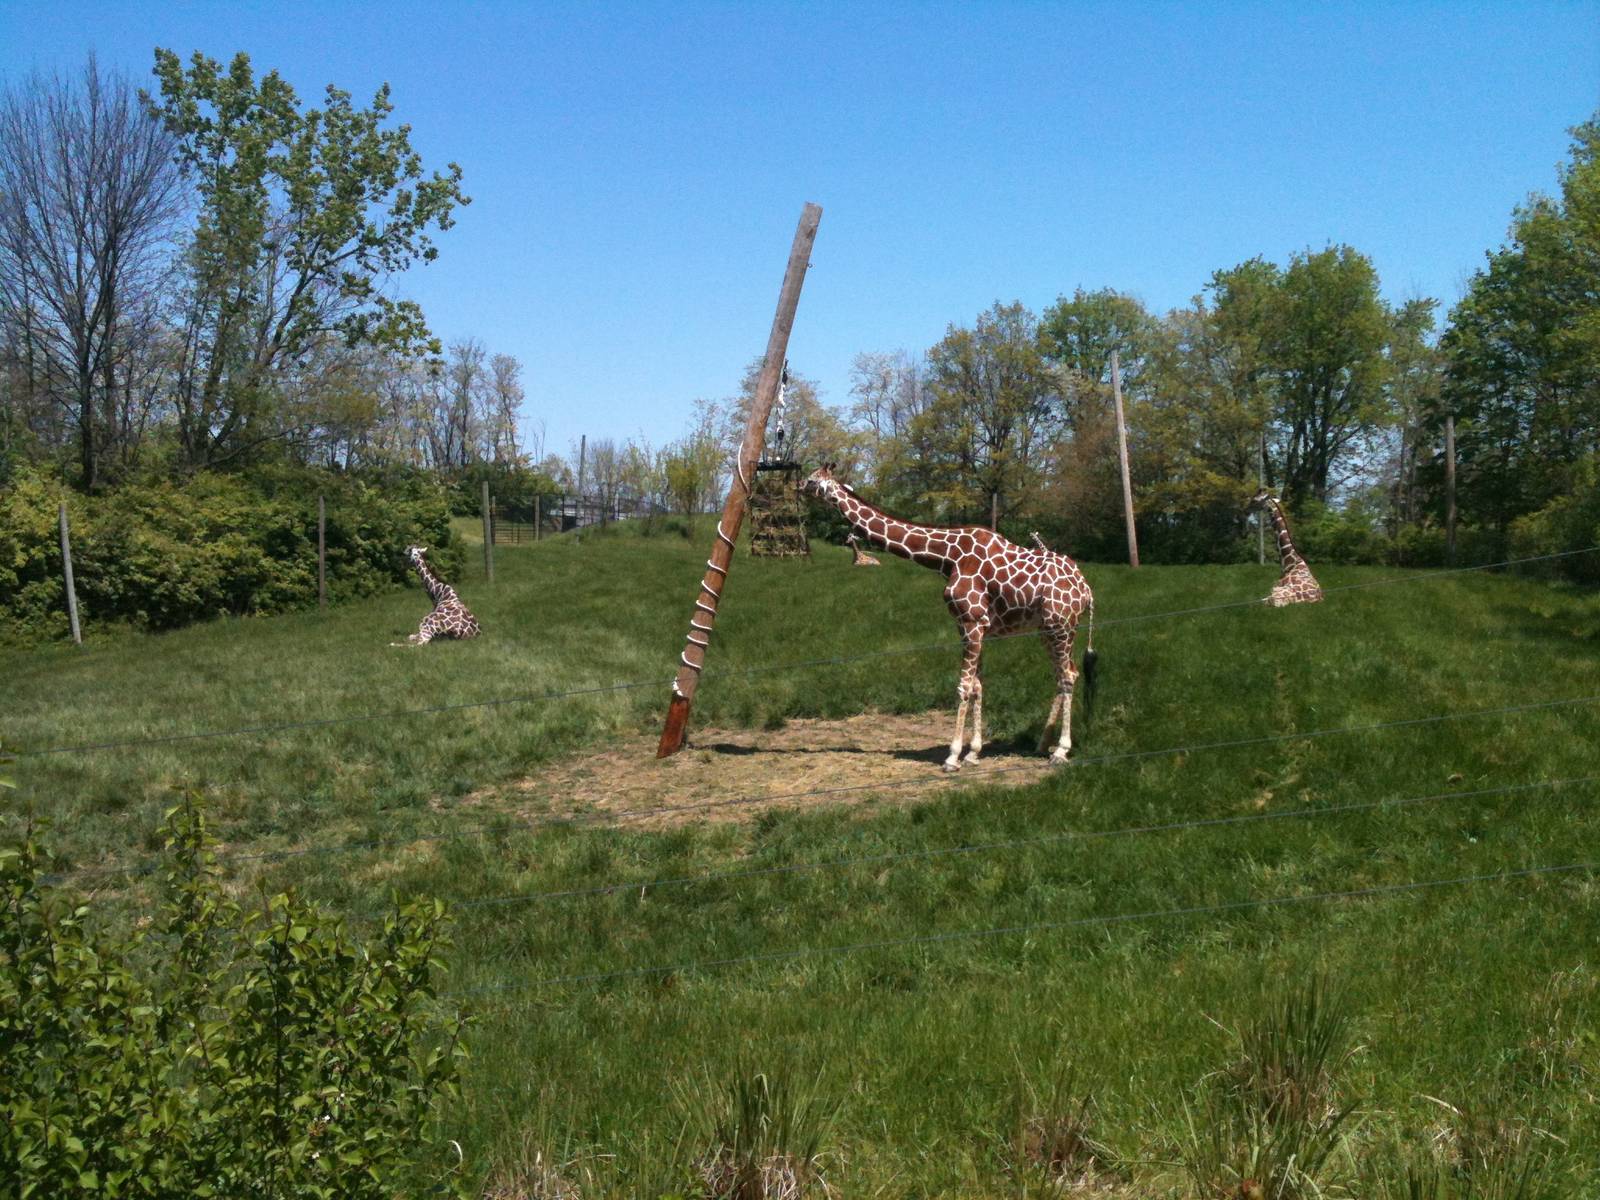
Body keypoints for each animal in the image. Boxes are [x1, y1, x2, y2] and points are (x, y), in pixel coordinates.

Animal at [801, 465, 1096, 771]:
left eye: (811, 479)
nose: (799, 487)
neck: (947, 556)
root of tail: (1086, 590)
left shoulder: (971, 622)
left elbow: (963, 687)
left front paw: (953, 756)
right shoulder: (972, 626)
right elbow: (978, 686)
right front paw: (973, 752)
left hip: (1061, 625)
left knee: (1067, 676)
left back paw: (1060, 750)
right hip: (1046, 629)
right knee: (1065, 673)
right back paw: (1041, 744)